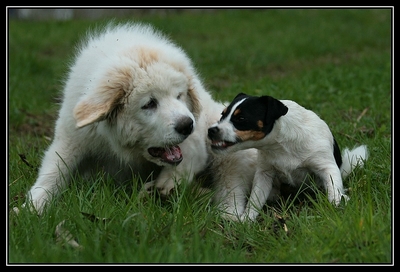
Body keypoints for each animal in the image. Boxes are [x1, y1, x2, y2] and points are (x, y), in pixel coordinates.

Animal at [209, 92, 368, 221]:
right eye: (222, 115)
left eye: (241, 118)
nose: (211, 130)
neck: (280, 146)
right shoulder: (264, 174)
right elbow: (255, 199)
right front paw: (247, 219)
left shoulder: (327, 167)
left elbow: (333, 189)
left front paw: (336, 206)